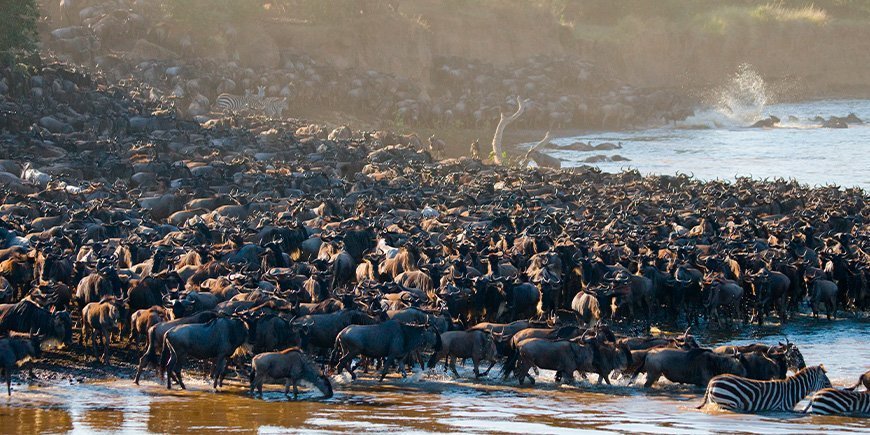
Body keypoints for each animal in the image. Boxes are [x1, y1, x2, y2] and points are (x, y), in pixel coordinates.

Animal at [700, 364, 836, 412]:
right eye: (826, 382)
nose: (832, 391)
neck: (792, 391)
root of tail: (712, 380)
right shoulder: (781, 408)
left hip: (715, 401)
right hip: (727, 402)